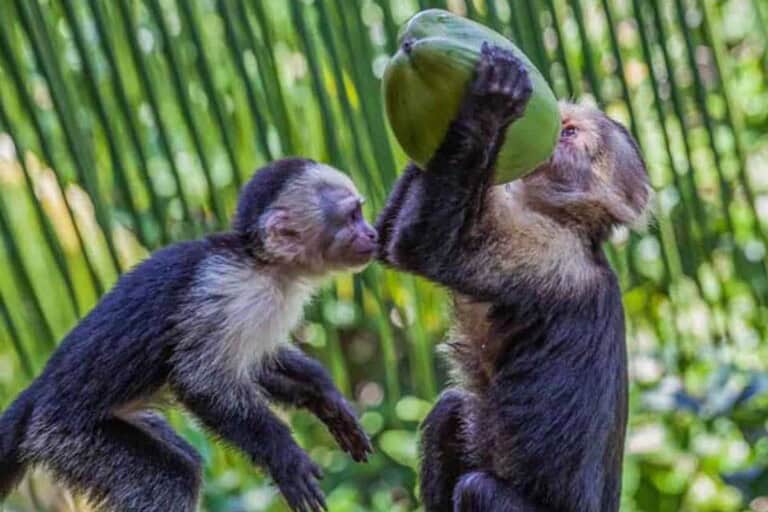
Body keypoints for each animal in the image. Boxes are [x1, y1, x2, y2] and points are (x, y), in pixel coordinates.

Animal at [0, 158, 376, 512]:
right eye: (352, 216)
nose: (373, 233)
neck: (262, 264)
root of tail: (37, 394)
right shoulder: (228, 293)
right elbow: (200, 381)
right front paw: (283, 455)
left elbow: (257, 363)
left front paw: (325, 396)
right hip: (66, 437)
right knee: (172, 479)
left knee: (183, 460)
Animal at [376, 43, 650, 512]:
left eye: (570, 133)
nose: (553, 130)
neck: (570, 223)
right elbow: (384, 240)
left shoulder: (552, 255)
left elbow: (425, 247)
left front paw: (493, 99)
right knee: (451, 410)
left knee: (477, 489)